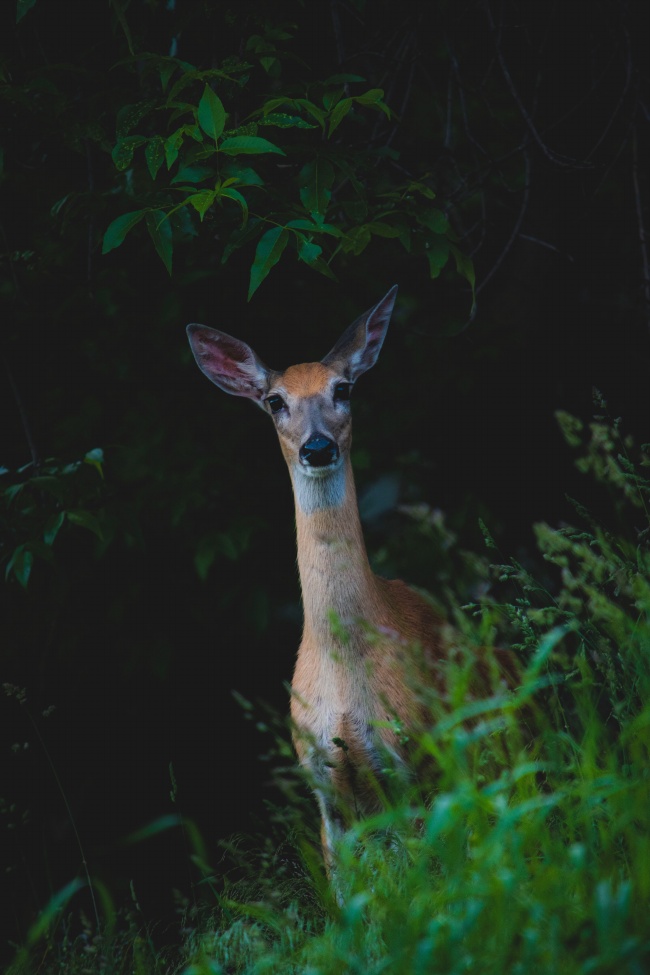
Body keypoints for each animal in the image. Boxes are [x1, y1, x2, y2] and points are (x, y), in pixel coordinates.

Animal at [185, 286, 512, 880]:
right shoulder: (323, 788)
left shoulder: (414, 760)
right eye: (274, 401)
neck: (343, 671)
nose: (317, 447)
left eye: (344, 388)